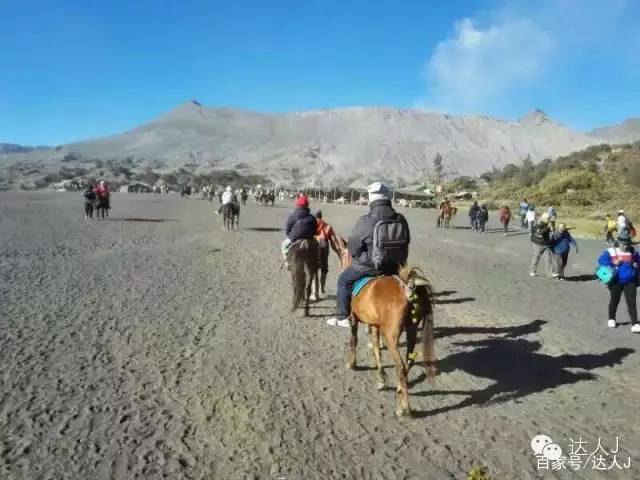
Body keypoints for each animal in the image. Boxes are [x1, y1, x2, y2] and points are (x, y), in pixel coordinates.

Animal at [336, 237, 436, 416]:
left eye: (342, 253)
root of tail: (408, 289)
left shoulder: (354, 319)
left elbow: (354, 341)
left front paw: (352, 364)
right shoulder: (376, 326)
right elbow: (377, 350)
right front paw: (382, 379)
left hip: (391, 336)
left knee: (401, 366)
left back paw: (404, 408)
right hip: (411, 329)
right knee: (409, 359)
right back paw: (400, 387)